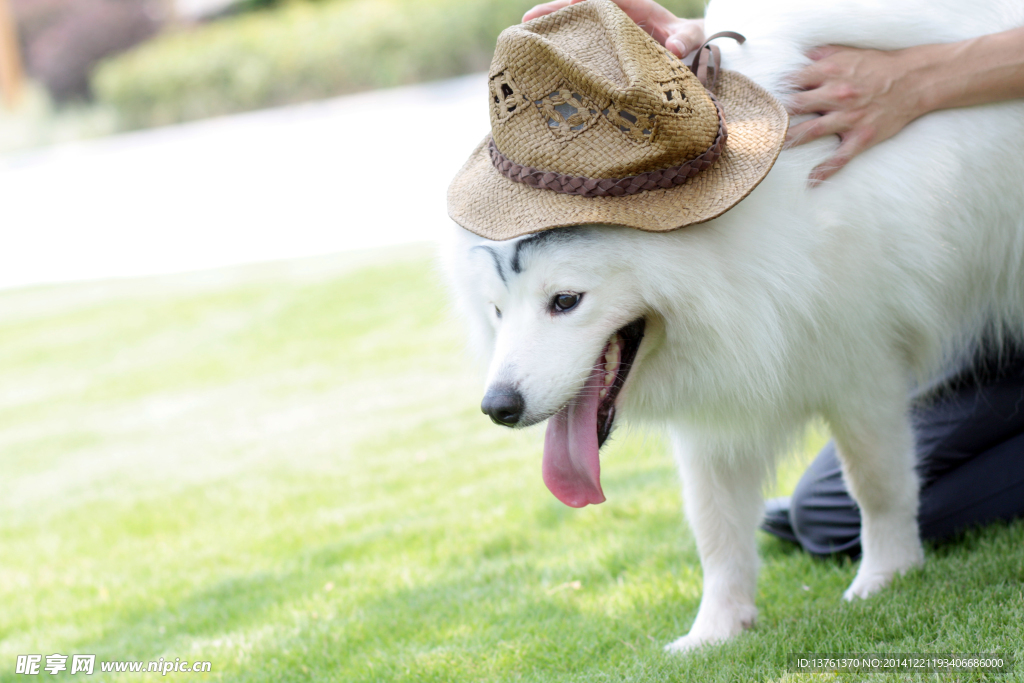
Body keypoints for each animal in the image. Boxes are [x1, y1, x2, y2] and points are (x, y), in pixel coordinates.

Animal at [444, 0, 1024, 651]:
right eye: (496, 310)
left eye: (566, 301)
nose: (498, 407)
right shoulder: (715, 408)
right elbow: (715, 522)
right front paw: (717, 630)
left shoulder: (863, 364)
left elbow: (875, 483)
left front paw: (885, 577)